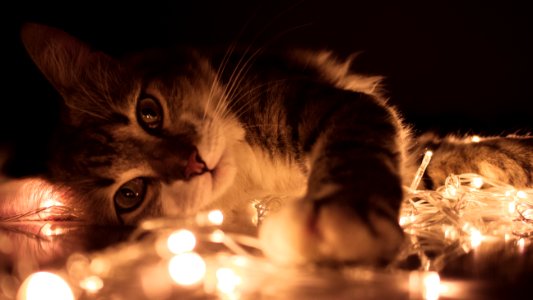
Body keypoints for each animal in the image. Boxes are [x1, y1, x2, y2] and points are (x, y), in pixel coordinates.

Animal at [9, 23, 532, 266]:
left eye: (148, 112)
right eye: (129, 195)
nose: (193, 164)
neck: (247, 174)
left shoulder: (340, 106)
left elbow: (431, 153)